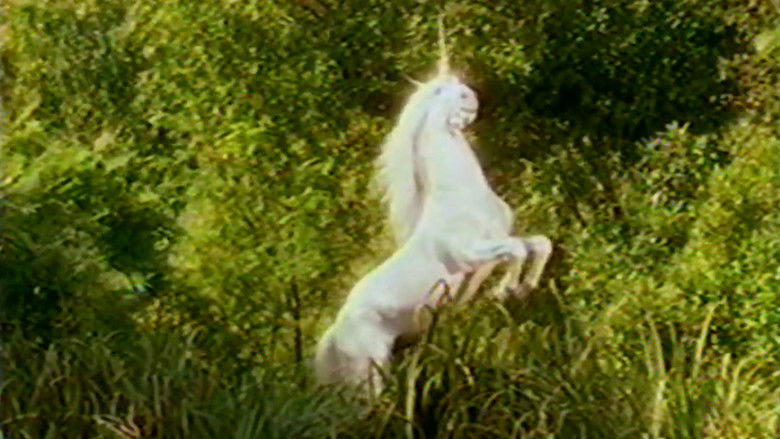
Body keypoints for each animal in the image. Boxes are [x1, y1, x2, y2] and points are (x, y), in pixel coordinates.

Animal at [314, 53, 552, 396]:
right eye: (441, 91)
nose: (472, 98)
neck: (459, 195)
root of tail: (335, 330)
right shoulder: (471, 253)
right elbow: (518, 250)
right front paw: (503, 290)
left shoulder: (496, 244)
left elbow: (539, 244)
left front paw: (524, 287)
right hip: (370, 373)